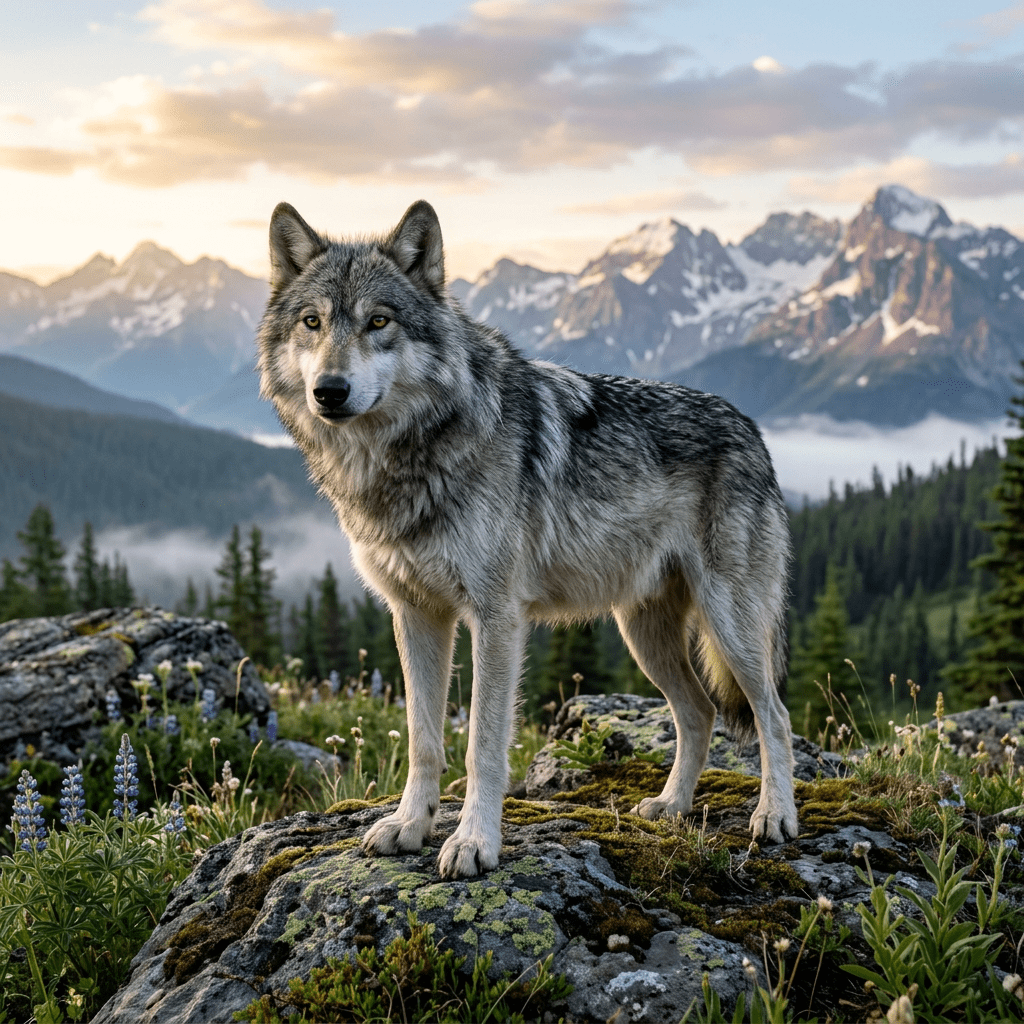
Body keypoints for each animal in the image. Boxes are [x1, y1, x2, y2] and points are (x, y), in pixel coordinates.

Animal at [257, 200, 799, 879]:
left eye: (378, 321)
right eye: (313, 322)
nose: (328, 391)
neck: (407, 456)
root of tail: (753, 428)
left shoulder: (496, 617)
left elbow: (481, 744)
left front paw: (473, 842)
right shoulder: (415, 614)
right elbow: (423, 739)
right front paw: (409, 827)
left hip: (730, 624)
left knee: (773, 715)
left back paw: (774, 817)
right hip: (642, 632)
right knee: (698, 712)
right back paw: (672, 806)